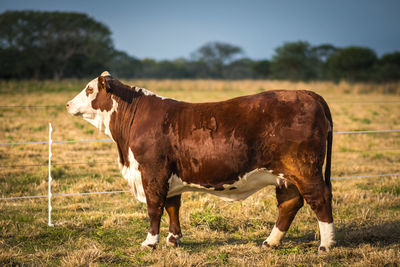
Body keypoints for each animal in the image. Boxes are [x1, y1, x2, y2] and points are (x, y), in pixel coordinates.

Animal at [67, 71, 336, 253]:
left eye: (89, 89)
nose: (68, 104)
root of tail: (305, 92)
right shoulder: (169, 175)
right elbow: (172, 206)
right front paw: (173, 239)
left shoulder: (152, 172)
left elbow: (154, 208)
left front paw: (150, 242)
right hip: (286, 175)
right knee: (289, 203)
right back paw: (270, 242)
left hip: (305, 168)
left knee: (319, 198)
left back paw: (326, 245)